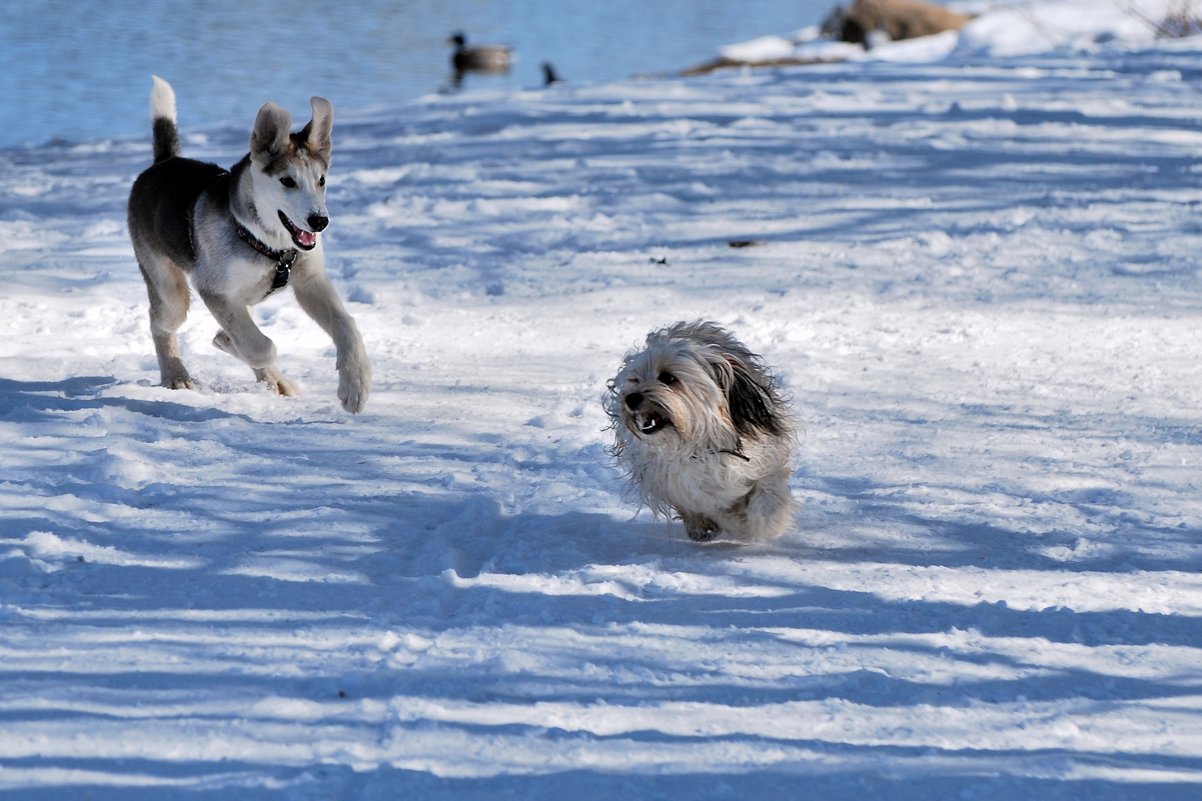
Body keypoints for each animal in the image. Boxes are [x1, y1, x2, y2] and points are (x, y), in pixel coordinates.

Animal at [126, 75, 370, 411]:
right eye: (287, 181)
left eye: (321, 180)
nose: (319, 221)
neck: (271, 246)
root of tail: (163, 163)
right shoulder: (214, 289)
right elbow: (261, 347)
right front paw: (228, 341)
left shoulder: (310, 280)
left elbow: (346, 325)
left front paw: (355, 384)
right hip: (168, 288)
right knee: (160, 324)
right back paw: (176, 375)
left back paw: (276, 381)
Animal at [610, 322, 798, 538]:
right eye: (635, 379)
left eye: (668, 377)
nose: (630, 398)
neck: (698, 443)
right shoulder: (678, 484)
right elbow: (705, 504)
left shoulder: (764, 457)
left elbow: (768, 491)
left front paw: (768, 521)